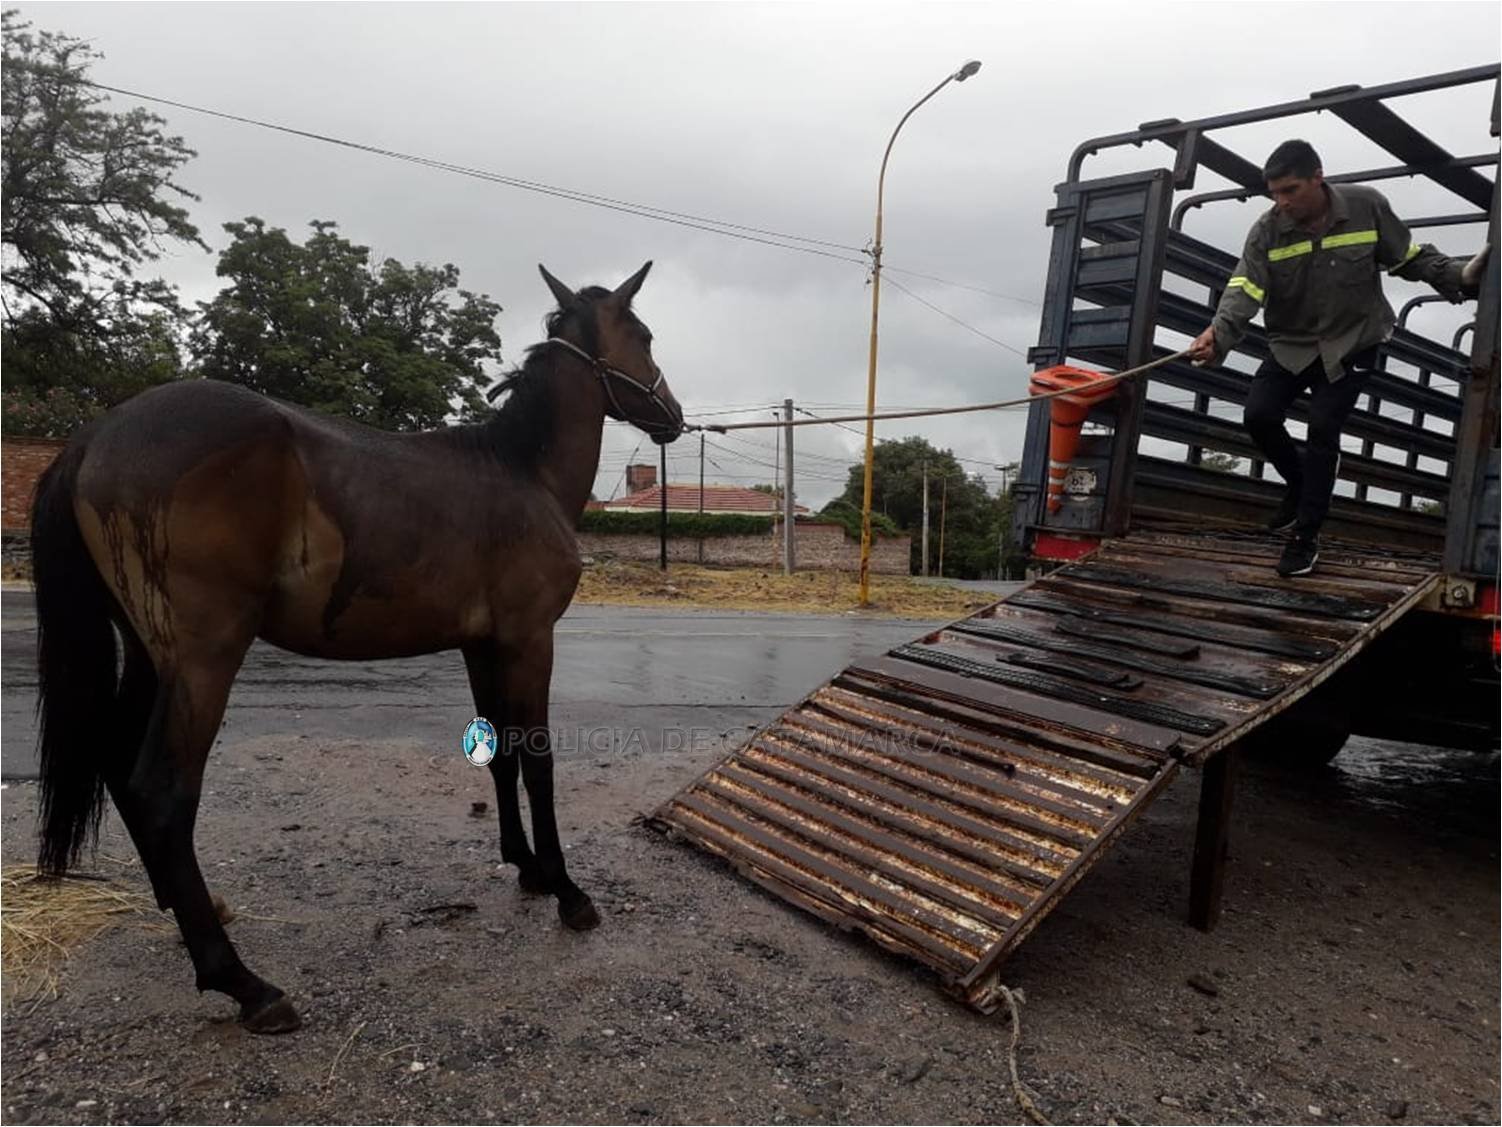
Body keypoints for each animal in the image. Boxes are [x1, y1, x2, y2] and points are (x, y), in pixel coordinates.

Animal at [32, 262, 684, 1033]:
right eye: (643, 334)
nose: (673, 417)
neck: (520, 471)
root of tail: (94, 435)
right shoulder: (529, 641)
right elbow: (538, 763)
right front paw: (566, 890)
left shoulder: (482, 645)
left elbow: (498, 757)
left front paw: (524, 867)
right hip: (201, 661)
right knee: (161, 792)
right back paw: (243, 983)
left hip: (148, 654)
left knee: (118, 763)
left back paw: (184, 909)